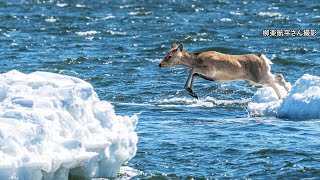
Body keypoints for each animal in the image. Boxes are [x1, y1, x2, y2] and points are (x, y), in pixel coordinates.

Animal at [159, 43, 290, 99]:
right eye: (165, 54)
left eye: (169, 56)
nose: (160, 64)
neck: (197, 59)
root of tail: (263, 59)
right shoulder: (208, 75)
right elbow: (195, 74)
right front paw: (193, 93)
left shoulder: (211, 70)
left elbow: (192, 70)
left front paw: (190, 90)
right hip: (254, 79)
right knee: (278, 76)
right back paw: (287, 92)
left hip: (259, 77)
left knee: (275, 80)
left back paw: (282, 97)